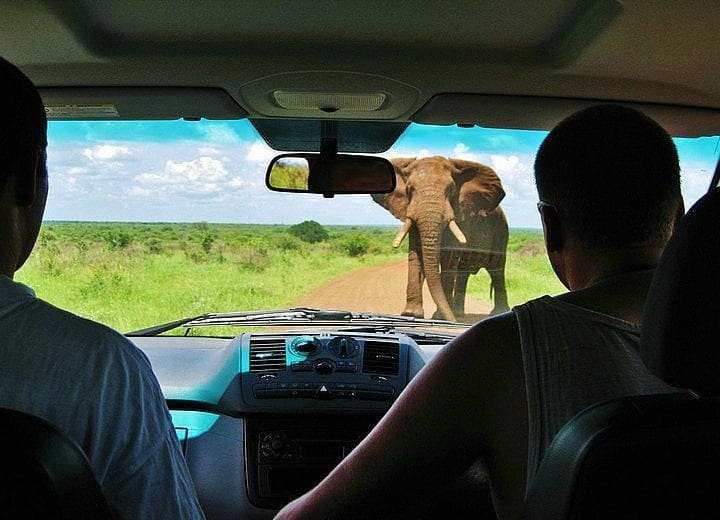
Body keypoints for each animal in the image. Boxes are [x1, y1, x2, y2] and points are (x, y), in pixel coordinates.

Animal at [374, 154, 510, 320]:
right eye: (409, 189)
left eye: (451, 190)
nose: (449, 319)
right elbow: (416, 255)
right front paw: (411, 314)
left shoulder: (460, 214)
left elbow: (448, 256)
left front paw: (439, 317)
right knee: (464, 271)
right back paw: (457, 313)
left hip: (501, 230)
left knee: (496, 269)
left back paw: (497, 312)